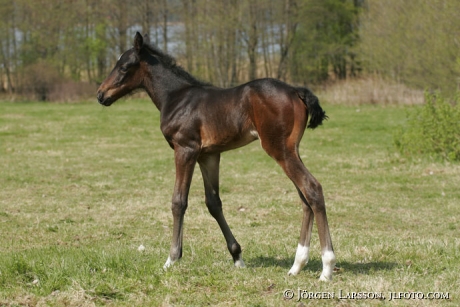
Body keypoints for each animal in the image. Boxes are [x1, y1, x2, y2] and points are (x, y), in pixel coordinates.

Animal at [96, 33, 334, 282]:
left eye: (124, 67)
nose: (101, 94)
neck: (176, 97)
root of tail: (296, 90)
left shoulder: (185, 149)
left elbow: (178, 201)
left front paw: (171, 259)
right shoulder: (208, 156)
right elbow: (213, 203)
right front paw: (237, 257)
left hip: (279, 150)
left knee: (312, 188)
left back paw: (326, 268)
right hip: (291, 150)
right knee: (305, 198)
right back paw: (297, 265)